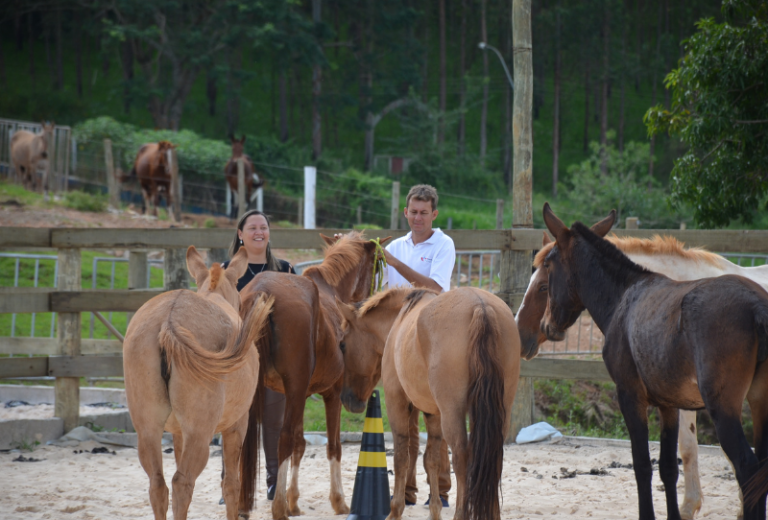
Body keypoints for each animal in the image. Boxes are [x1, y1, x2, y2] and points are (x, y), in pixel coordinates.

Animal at [127, 245, 280, 520]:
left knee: (158, 485)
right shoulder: (236, 425)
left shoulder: (178, 433)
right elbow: (231, 484)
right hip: (201, 433)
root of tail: (168, 320)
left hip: (148, 429)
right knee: (182, 483)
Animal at [236, 232, 390, 520]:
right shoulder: (332, 394)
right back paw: (278, 508)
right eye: (376, 265)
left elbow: (300, 443)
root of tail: (263, 290)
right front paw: (339, 501)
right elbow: (332, 446)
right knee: (284, 439)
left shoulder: (300, 394)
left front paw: (294, 500)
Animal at [338, 284, 520, 520]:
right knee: (492, 457)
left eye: (342, 345)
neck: (400, 320)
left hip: (453, 413)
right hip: (498, 412)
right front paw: (435, 510)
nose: (347, 399)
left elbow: (402, 456)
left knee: (461, 457)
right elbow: (431, 459)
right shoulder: (434, 413)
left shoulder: (396, 402)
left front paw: (395, 510)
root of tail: (481, 306)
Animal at [512, 233, 768, 520]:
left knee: (747, 466)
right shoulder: (673, 401)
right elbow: (678, 457)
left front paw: (689, 507)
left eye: (543, 286)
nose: (519, 333)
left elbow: (676, 454)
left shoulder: (643, 398)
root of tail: (757, 308)